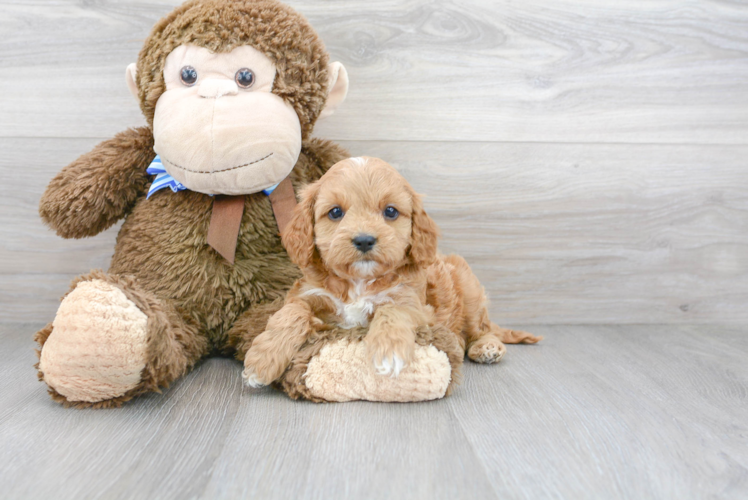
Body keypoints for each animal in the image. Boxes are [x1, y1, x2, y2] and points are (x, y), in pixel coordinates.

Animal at [243, 156, 540, 386]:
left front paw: (389, 352)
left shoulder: (415, 304)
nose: (364, 240)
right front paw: (261, 361)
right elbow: (291, 313)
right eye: (336, 212)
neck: (359, 281)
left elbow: (391, 310)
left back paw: (487, 347)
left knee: (482, 328)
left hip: (469, 288)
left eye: (390, 212)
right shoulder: (306, 294)